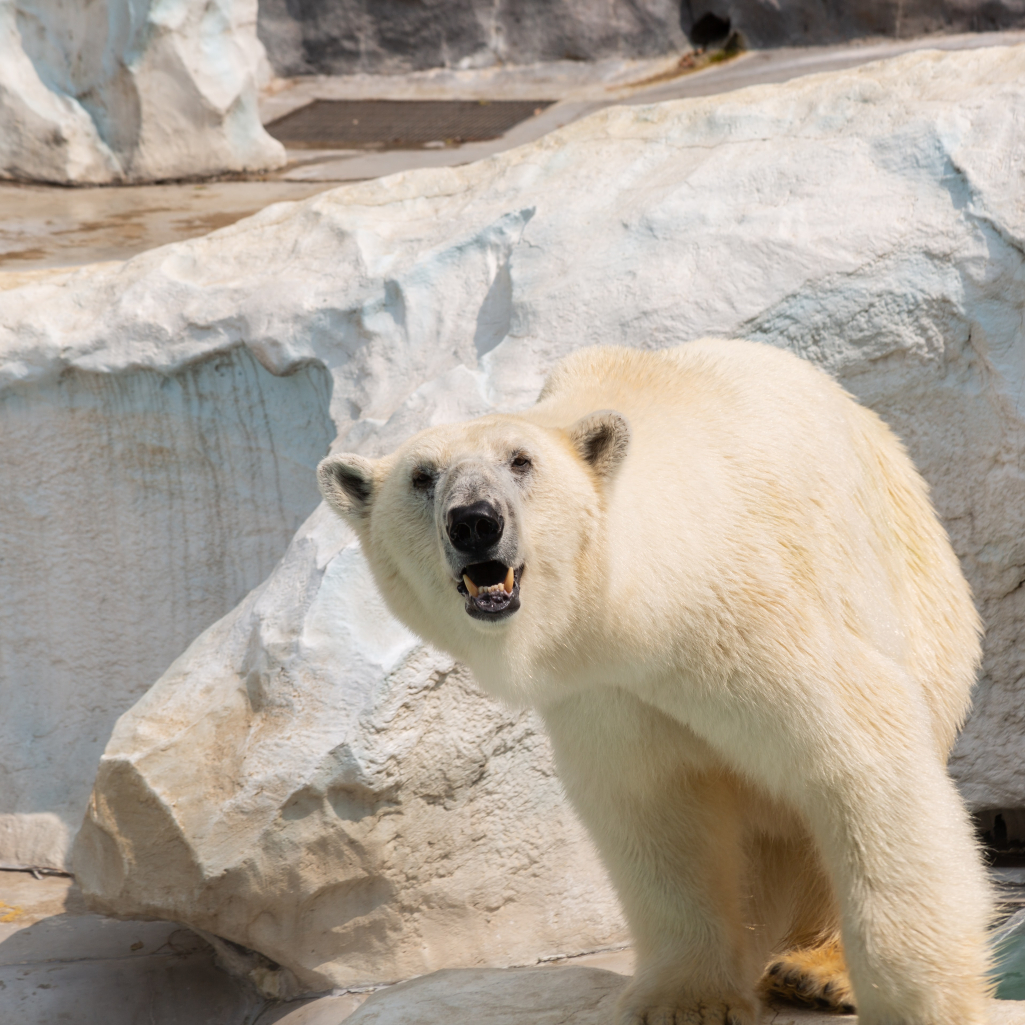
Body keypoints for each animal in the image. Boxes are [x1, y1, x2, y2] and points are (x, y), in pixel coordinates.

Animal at [317, 340, 992, 1020]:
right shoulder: (605, 692)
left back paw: (814, 970)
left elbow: (861, 751)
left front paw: (916, 1002)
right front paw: (685, 1000)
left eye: (520, 461)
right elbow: (654, 803)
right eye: (422, 476)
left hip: (922, 603)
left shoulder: (743, 617)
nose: (474, 521)